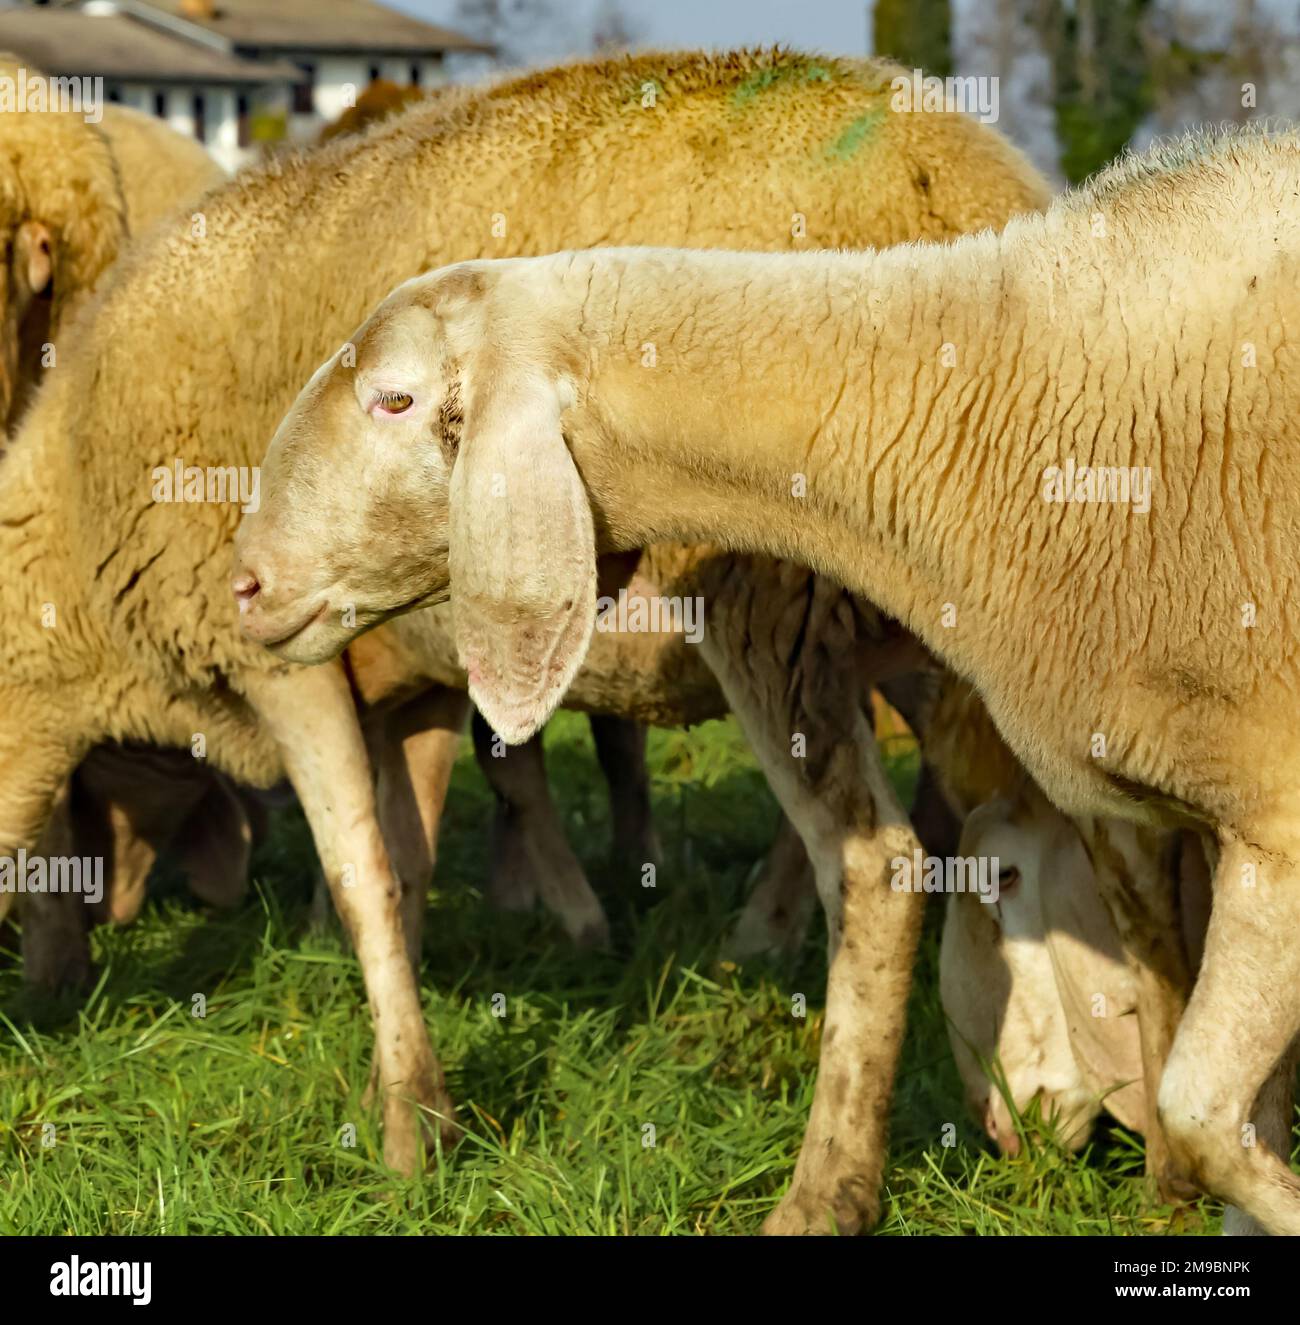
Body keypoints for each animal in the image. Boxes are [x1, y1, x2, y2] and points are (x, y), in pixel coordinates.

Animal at [0, 49, 1044, 1219]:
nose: (60, 970)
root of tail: (975, 187)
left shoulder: (284, 660)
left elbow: (361, 873)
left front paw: (412, 1128)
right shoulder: (409, 682)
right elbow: (406, 864)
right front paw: (401, 1079)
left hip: (774, 598)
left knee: (878, 868)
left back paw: (827, 1184)